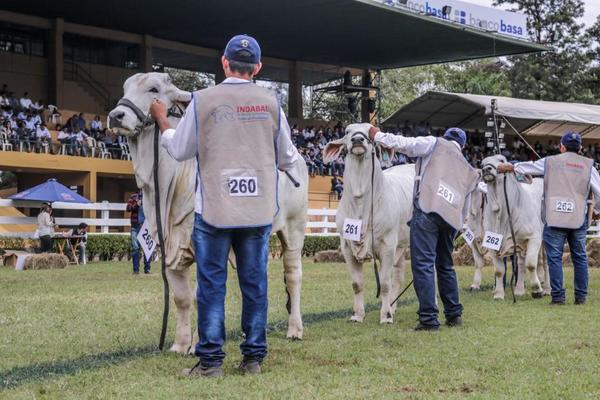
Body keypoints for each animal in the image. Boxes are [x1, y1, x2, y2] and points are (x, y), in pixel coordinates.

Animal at [322, 123, 414, 324]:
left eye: (370, 131)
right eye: (347, 132)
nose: (358, 140)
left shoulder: (388, 245)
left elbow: (385, 283)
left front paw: (385, 316)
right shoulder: (346, 246)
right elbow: (357, 284)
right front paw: (358, 315)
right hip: (402, 244)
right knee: (399, 275)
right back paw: (393, 307)